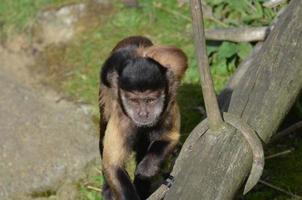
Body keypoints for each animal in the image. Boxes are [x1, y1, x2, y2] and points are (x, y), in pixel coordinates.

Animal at [98, 36, 186, 200]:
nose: (143, 114)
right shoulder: (122, 118)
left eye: (150, 100)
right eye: (134, 101)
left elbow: (170, 137)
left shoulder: (168, 105)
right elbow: (113, 166)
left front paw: (148, 167)